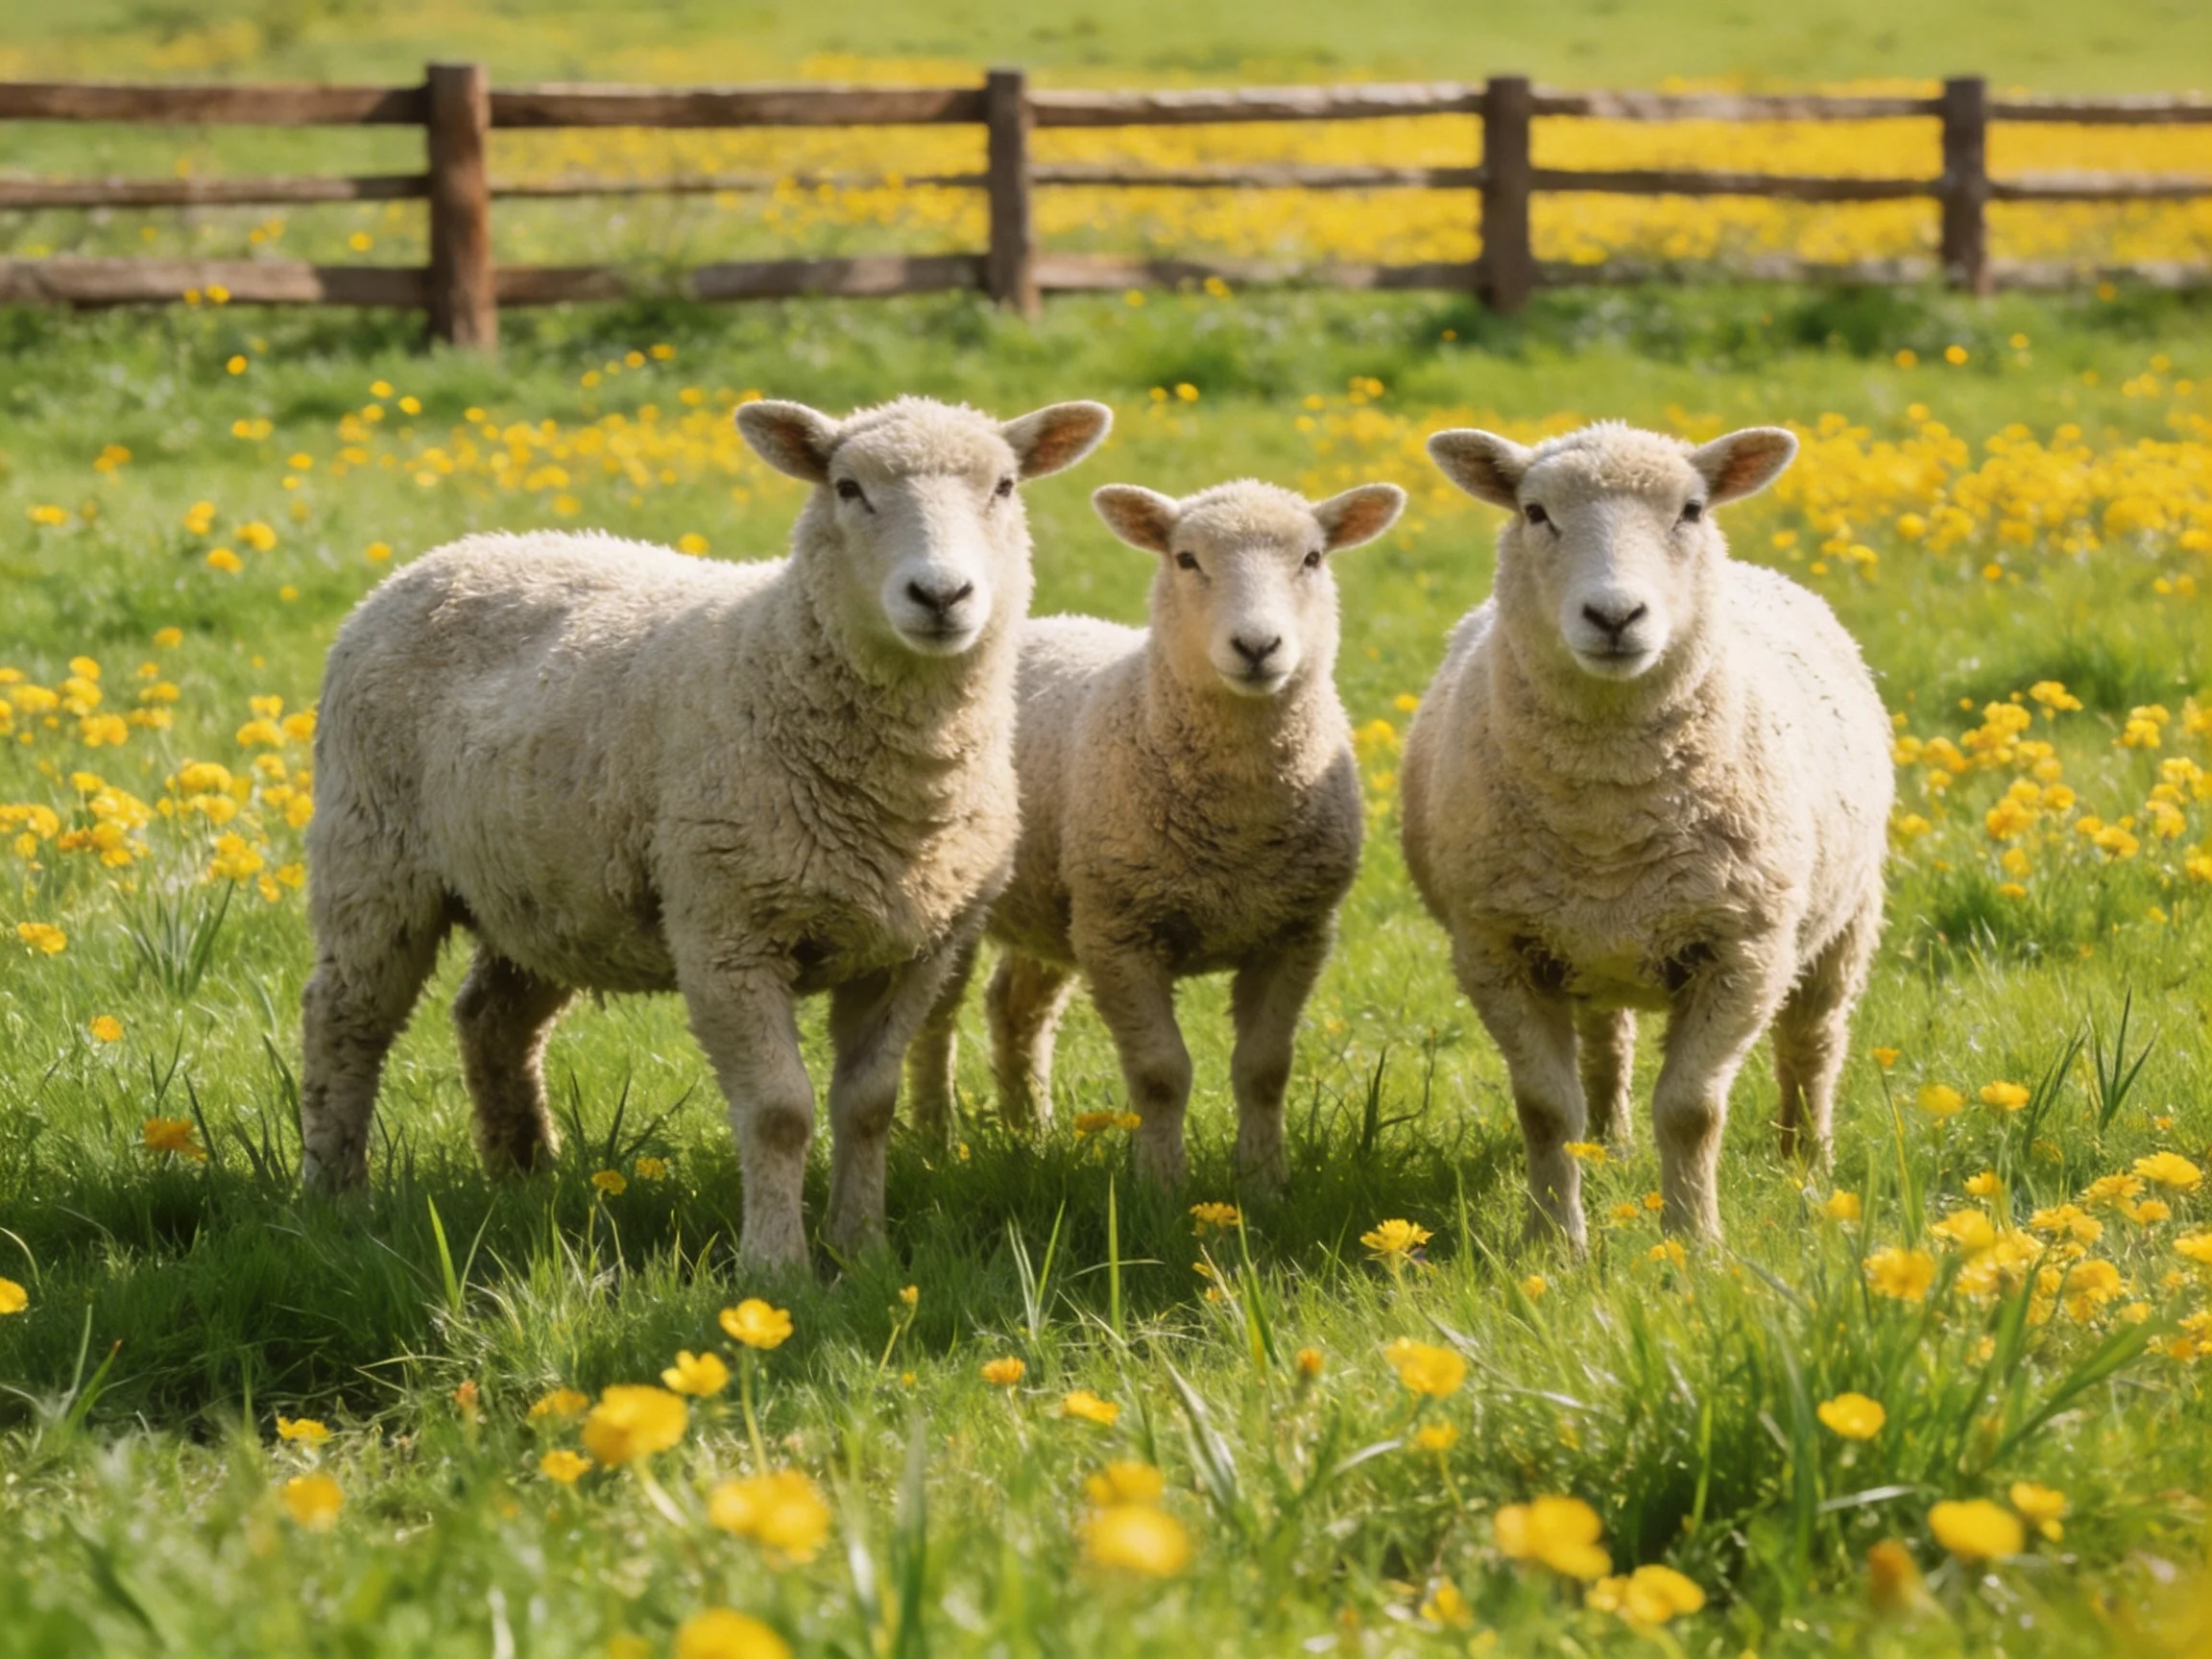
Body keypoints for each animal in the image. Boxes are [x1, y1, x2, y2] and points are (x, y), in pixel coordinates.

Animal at [299, 394, 1112, 1266]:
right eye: (848, 487)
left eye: (1004, 486)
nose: (940, 595)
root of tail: (450, 554)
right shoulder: (728, 931)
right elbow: (780, 1112)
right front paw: (777, 1264)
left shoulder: (913, 949)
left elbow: (868, 1106)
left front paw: (860, 1250)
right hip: (372, 857)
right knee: (344, 1019)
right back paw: (335, 1192)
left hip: (543, 890)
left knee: (492, 1018)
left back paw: (525, 1176)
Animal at [905, 476, 1406, 1189]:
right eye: (1186, 559)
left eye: (1312, 558)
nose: (1258, 647)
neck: (1237, 831)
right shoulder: (1122, 934)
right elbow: (1161, 1073)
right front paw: (1163, 1186)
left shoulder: (1296, 932)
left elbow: (1265, 1069)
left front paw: (1264, 1184)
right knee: (936, 1018)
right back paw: (934, 1140)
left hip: (1060, 899)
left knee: (1015, 1008)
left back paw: (1031, 1132)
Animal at [1402, 421, 1891, 1247]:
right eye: (1535, 512)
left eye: (1690, 510)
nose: (1614, 617)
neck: (1609, 815)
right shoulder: (1496, 948)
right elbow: (1545, 1109)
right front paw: (1553, 1244)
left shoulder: (1745, 950)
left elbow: (1692, 1111)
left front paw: (1695, 1245)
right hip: (1589, 947)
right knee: (1607, 1042)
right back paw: (1609, 1143)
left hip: (1845, 921)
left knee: (1813, 1044)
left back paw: (1808, 1164)